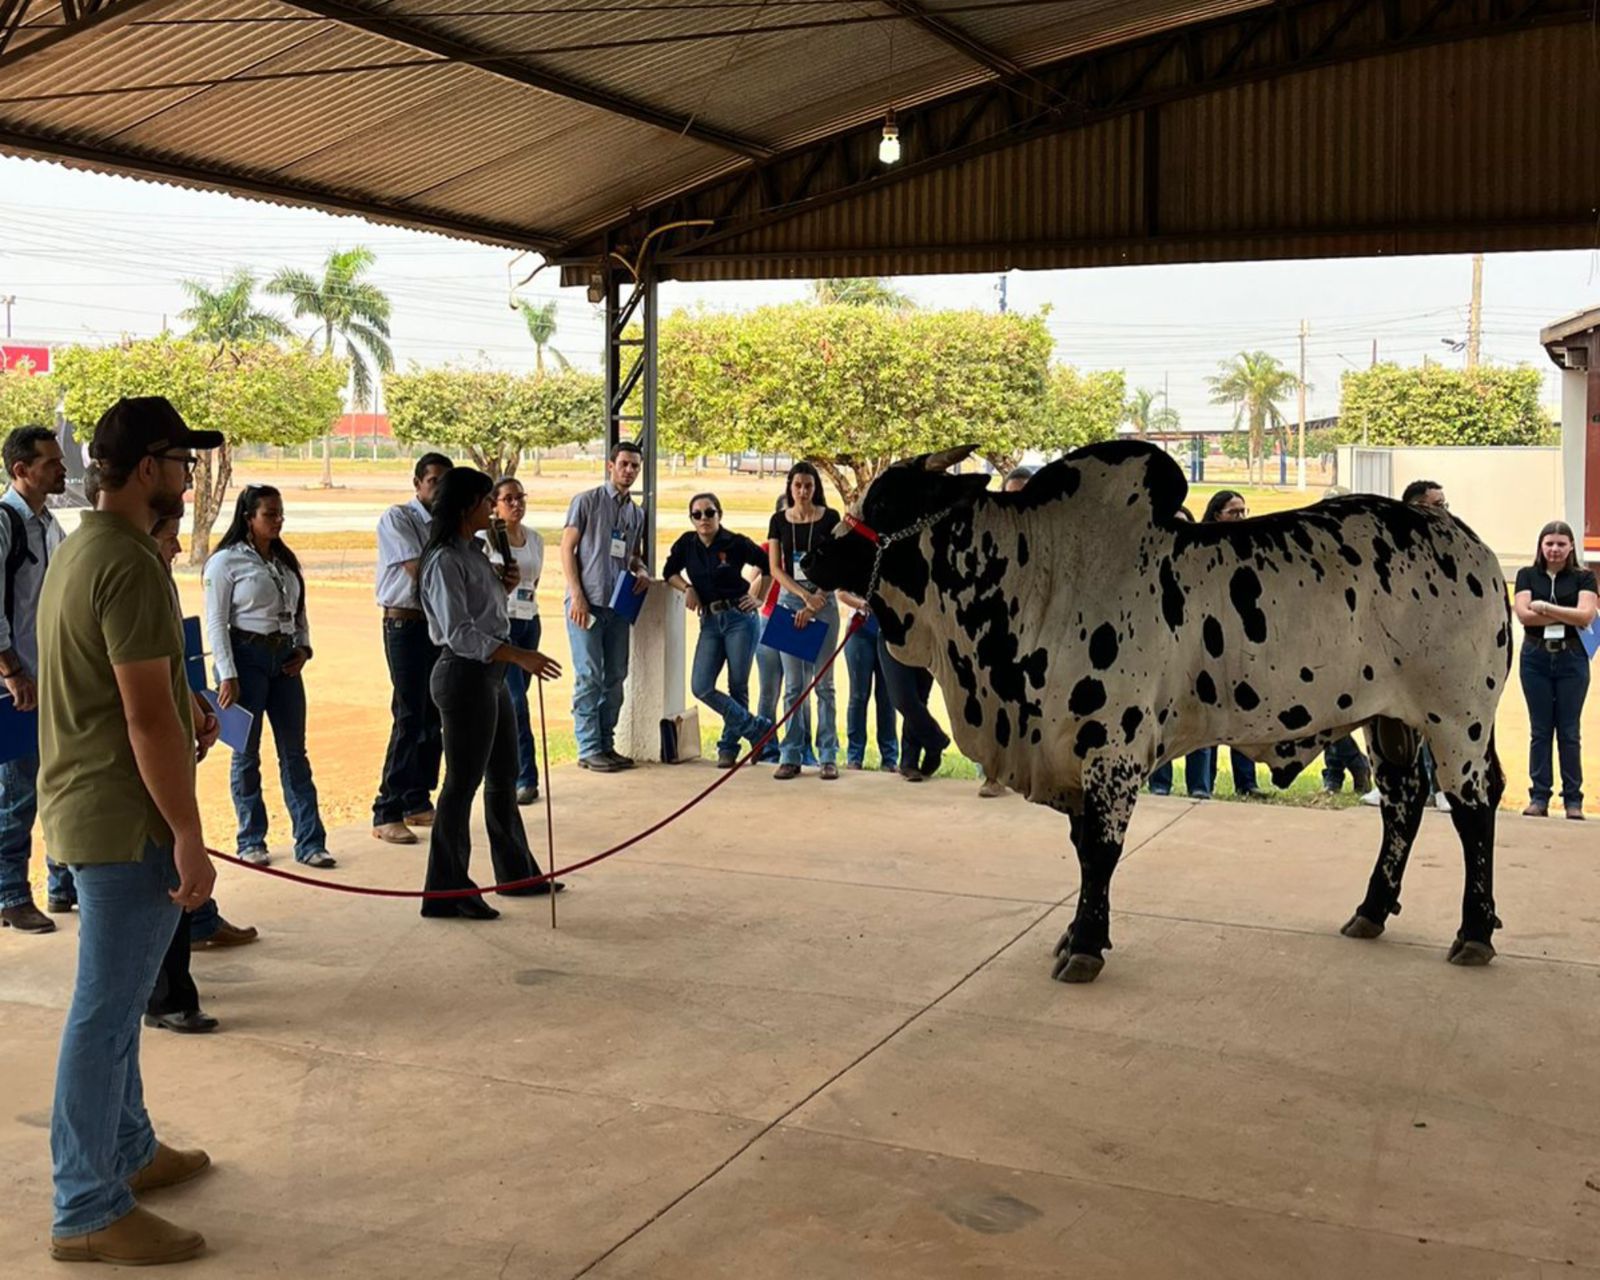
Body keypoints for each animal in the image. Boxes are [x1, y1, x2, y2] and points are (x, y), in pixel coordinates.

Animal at [806, 435, 1504, 985]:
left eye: (886, 502)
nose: (813, 556)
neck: (1036, 577)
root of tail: (1474, 546)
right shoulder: (1071, 752)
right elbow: (1082, 846)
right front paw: (1077, 935)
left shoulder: (1109, 752)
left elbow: (1099, 851)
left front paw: (1085, 948)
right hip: (1392, 723)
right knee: (1403, 802)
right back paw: (1371, 910)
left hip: (1457, 723)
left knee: (1472, 811)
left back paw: (1473, 932)